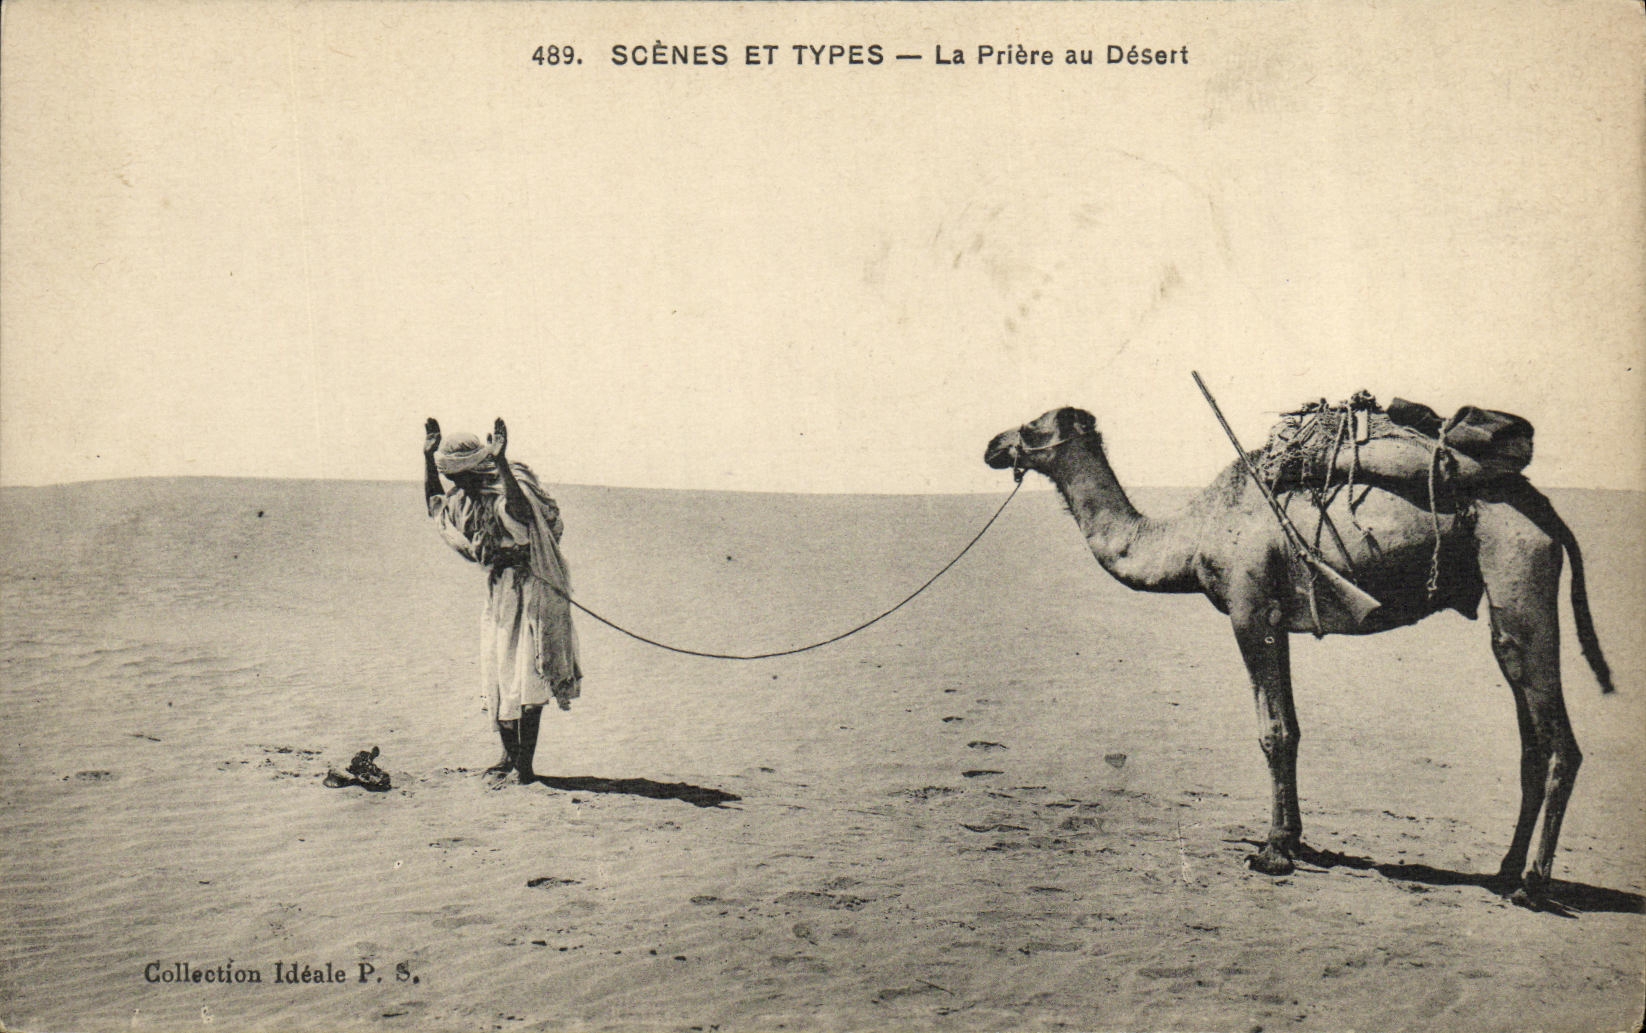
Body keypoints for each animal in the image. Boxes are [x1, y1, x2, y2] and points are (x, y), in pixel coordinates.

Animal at [984, 405, 1614, 906]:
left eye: (1033, 425)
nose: (992, 445)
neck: (1191, 536)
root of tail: (1548, 513)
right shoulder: (1275, 620)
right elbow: (1291, 728)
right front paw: (1293, 840)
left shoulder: (1250, 609)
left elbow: (1274, 732)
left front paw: (1272, 852)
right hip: (1508, 604)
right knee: (1531, 741)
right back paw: (1505, 872)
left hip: (1520, 573)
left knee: (1562, 744)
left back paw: (1533, 885)